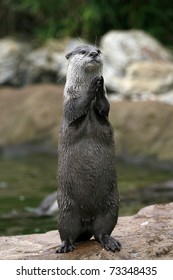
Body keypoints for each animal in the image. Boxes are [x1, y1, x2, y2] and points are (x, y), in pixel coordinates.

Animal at [56, 44, 121, 253]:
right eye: (83, 51)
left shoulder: (104, 113)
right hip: (66, 209)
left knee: (102, 231)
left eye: (98, 50)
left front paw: (100, 85)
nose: (94, 53)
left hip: (111, 206)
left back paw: (110, 242)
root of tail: (87, 221)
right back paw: (65, 246)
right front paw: (94, 86)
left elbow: (104, 106)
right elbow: (78, 105)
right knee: (66, 232)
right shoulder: (69, 106)